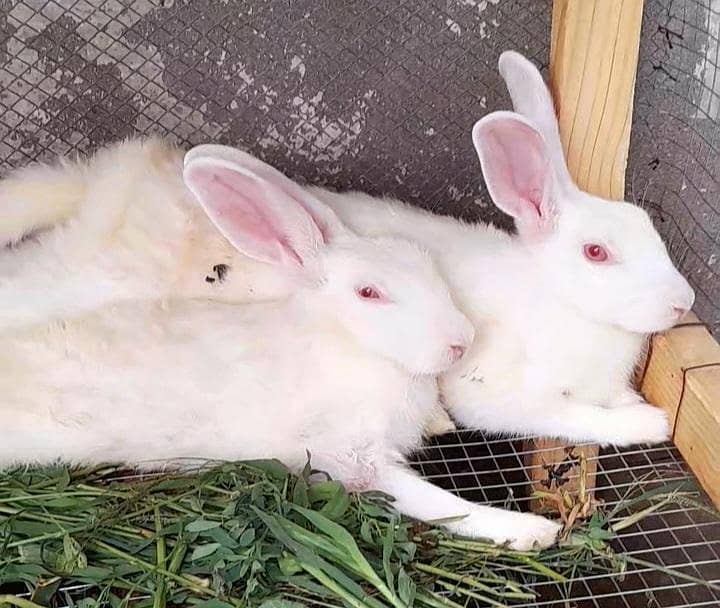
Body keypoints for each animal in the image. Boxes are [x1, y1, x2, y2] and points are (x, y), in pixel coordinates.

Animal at [0, 148, 562, 551]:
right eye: (369, 293)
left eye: (425, 264)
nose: (460, 342)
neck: (352, 346)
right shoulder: (352, 457)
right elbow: (437, 502)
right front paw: (530, 531)